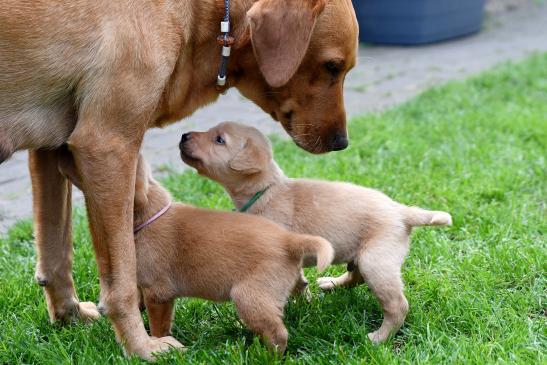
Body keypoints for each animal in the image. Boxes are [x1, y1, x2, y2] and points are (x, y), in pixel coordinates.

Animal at [60, 152, 334, 354]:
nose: (64, 151)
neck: (150, 215)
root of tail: (289, 240)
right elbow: (137, 301)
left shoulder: (159, 294)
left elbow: (159, 324)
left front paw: (158, 341)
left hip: (249, 296)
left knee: (278, 333)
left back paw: (265, 354)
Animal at [180, 121, 454, 342]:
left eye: (219, 139)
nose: (183, 135)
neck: (267, 189)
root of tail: (401, 211)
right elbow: (298, 286)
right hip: (363, 255)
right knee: (356, 276)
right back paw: (331, 283)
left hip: (376, 261)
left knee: (397, 305)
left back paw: (379, 337)